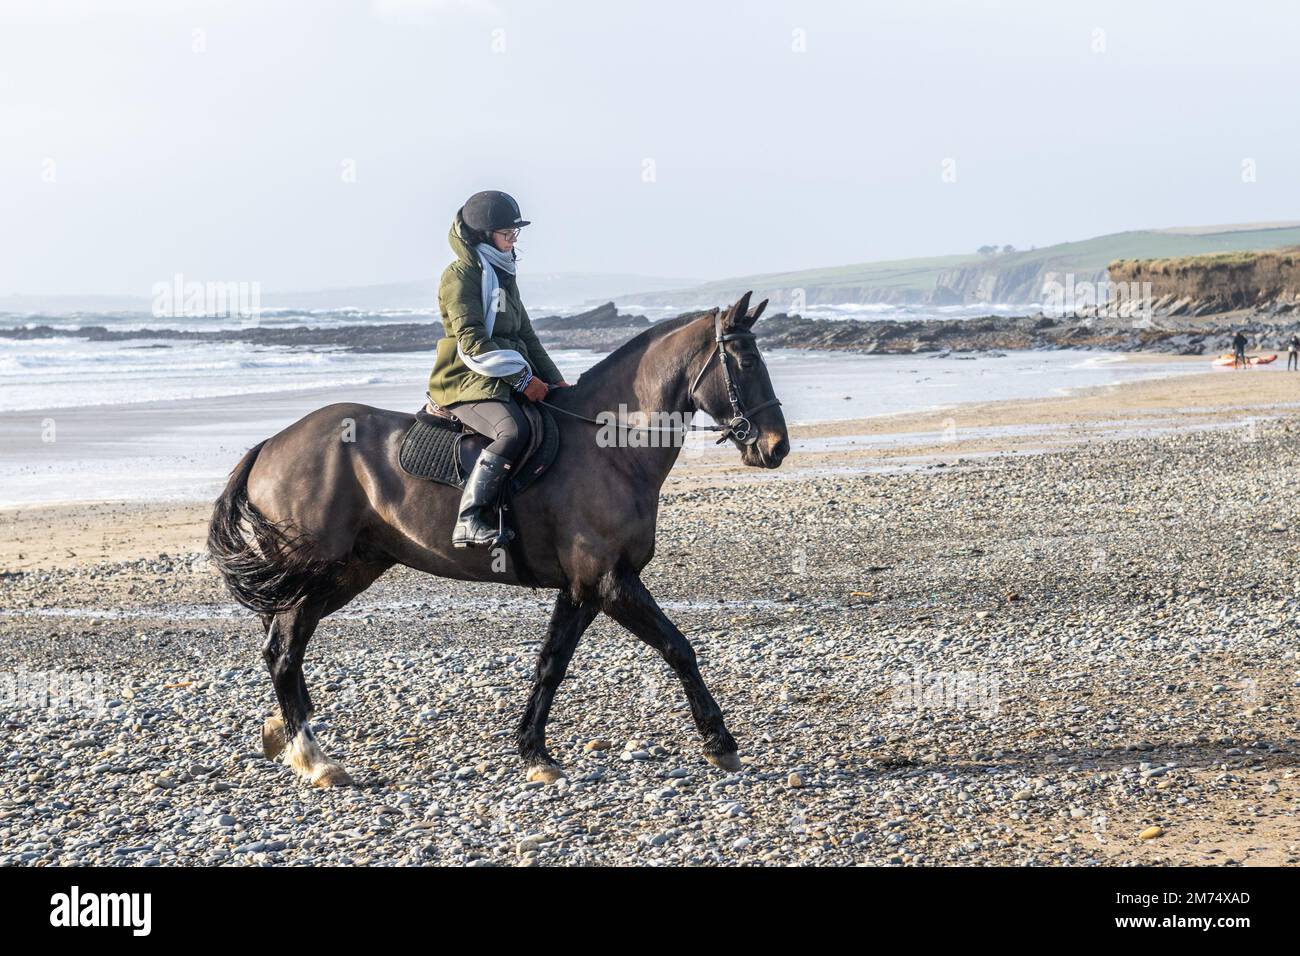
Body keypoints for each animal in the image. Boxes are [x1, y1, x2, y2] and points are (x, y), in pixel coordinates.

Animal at [208, 291, 785, 785]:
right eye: (746, 362)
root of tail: (271, 444)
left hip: (347, 571)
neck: (608, 446)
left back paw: (283, 734)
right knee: (283, 651)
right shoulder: (611, 583)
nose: (776, 447)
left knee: (279, 640)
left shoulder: (582, 589)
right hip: (318, 573)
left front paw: (534, 753)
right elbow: (678, 648)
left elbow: (551, 664)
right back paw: (314, 758)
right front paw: (719, 743)